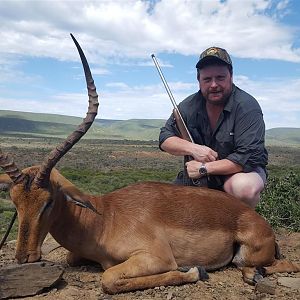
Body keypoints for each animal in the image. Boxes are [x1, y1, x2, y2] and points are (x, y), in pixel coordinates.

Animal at [0, 34, 298, 294]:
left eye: (48, 201)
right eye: (15, 201)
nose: (24, 257)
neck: (104, 219)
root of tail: (261, 223)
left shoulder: (156, 257)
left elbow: (109, 278)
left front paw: (194, 270)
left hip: (247, 254)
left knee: (281, 264)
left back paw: (253, 274)